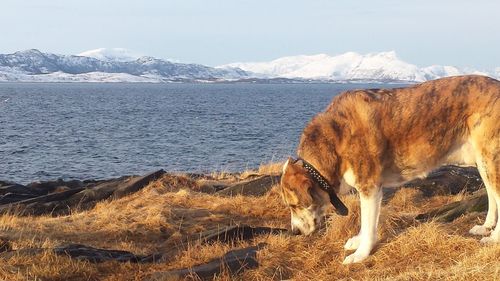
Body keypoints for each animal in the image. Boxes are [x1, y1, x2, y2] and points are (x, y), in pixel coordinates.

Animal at [282, 74, 500, 262]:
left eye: (295, 205)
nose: (294, 232)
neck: (334, 141)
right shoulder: (369, 191)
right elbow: (365, 221)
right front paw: (358, 241)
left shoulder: (370, 188)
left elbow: (368, 223)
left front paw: (361, 254)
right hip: (483, 162)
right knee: (491, 195)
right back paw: (485, 226)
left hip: (490, 159)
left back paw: (494, 238)